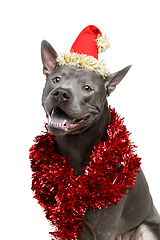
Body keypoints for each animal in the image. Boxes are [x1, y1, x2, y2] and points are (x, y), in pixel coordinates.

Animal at [40, 40, 160, 239]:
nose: (61, 93)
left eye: (87, 88)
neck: (75, 148)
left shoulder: (105, 229)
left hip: (145, 229)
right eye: (56, 79)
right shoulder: (78, 227)